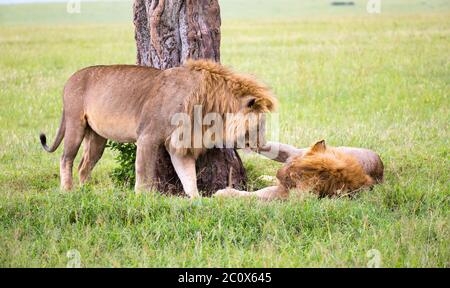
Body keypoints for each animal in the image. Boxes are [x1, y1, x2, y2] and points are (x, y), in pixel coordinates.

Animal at [40, 60, 276, 198]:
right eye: (260, 124)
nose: (263, 143)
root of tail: (70, 78)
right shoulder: (147, 137)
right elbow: (143, 172)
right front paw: (140, 199)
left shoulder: (180, 145)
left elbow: (188, 177)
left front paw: (197, 202)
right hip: (75, 123)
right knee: (66, 158)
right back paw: (67, 191)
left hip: (97, 136)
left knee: (85, 165)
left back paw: (86, 191)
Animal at [214, 140, 384, 200]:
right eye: (289, 165)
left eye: (288, 179)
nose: (277, 174)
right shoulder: (293, 152)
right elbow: (262, 144)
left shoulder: (283, 194)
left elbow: (251, 196)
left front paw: (222, 194)